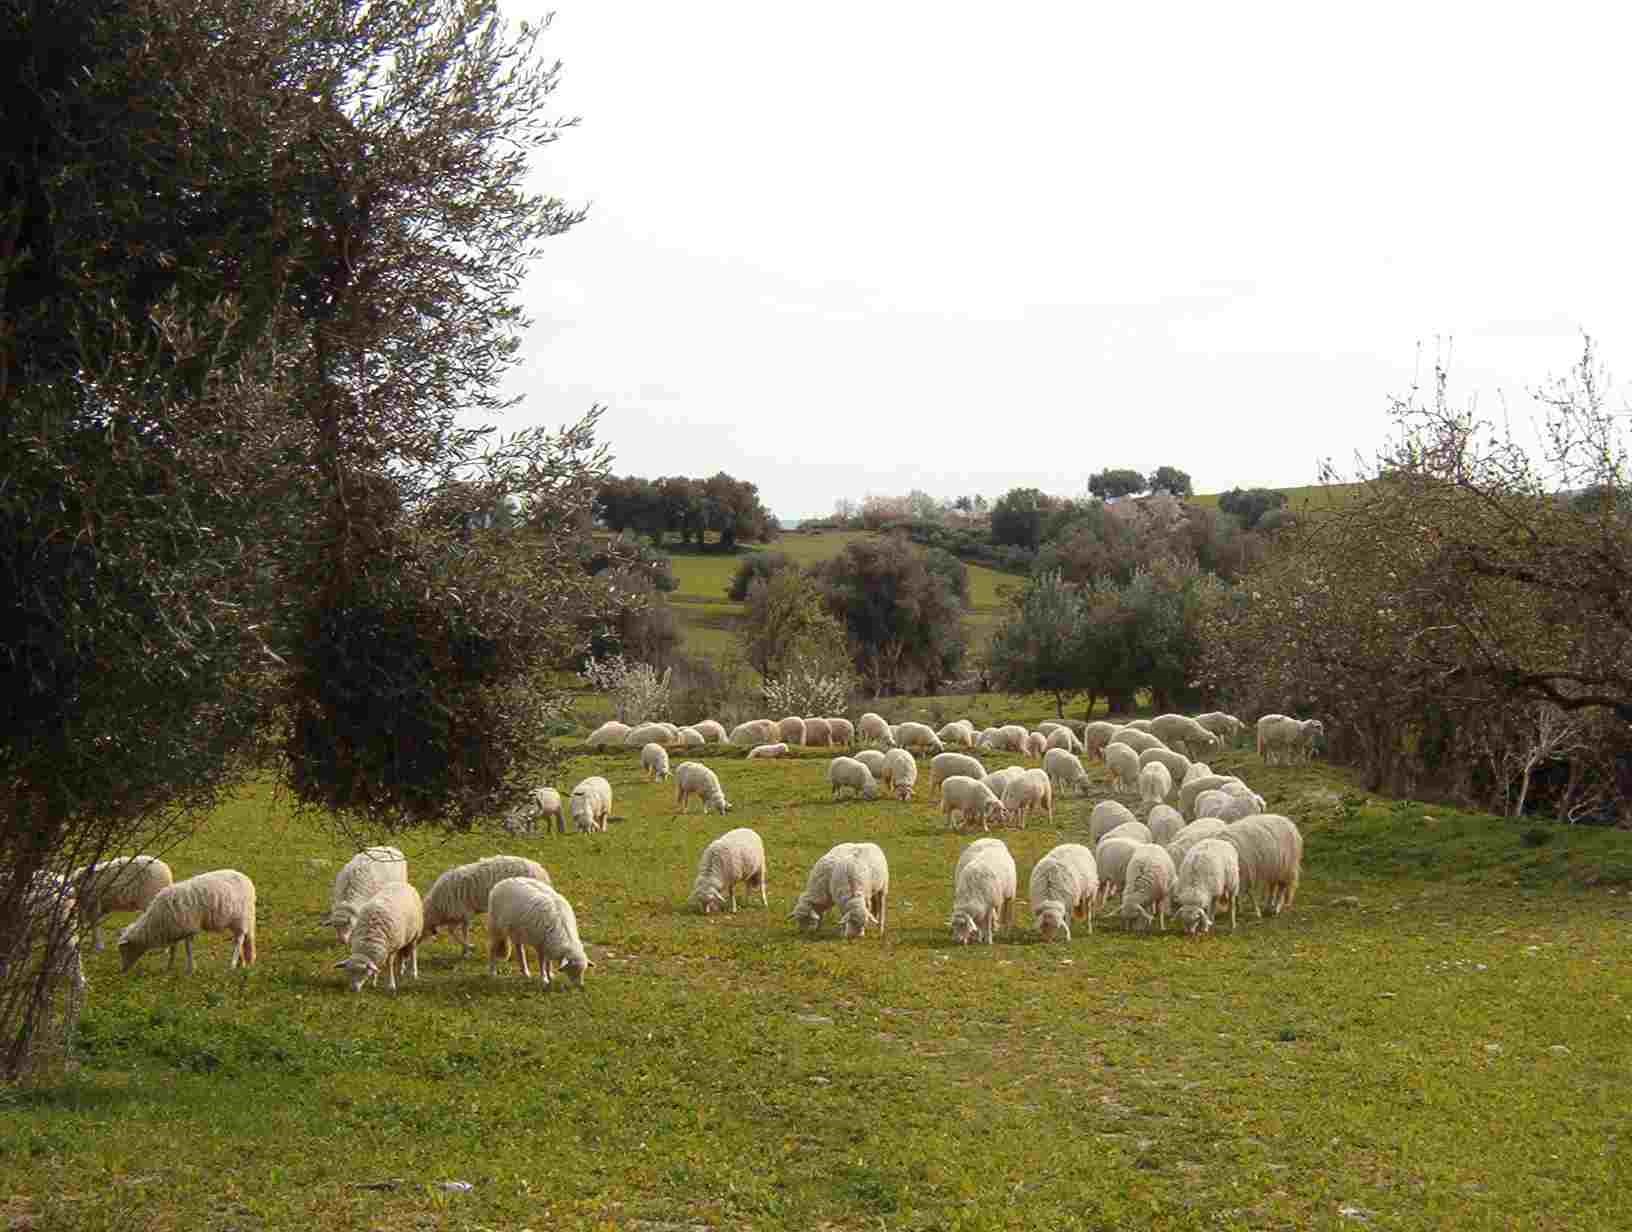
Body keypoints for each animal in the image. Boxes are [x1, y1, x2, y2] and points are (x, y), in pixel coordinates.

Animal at [119, 874, 257, 979]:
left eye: (124, 950)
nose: (122, 971)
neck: (156, 923)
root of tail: (246, 879)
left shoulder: (189, 928)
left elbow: (187, 948)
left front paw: (190, 969)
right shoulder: (175, 929)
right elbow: (173, 948)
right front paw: (169, 967)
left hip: (240, 918)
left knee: (239, 940)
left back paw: (232, 965)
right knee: (242, 939)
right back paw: (241, 963)